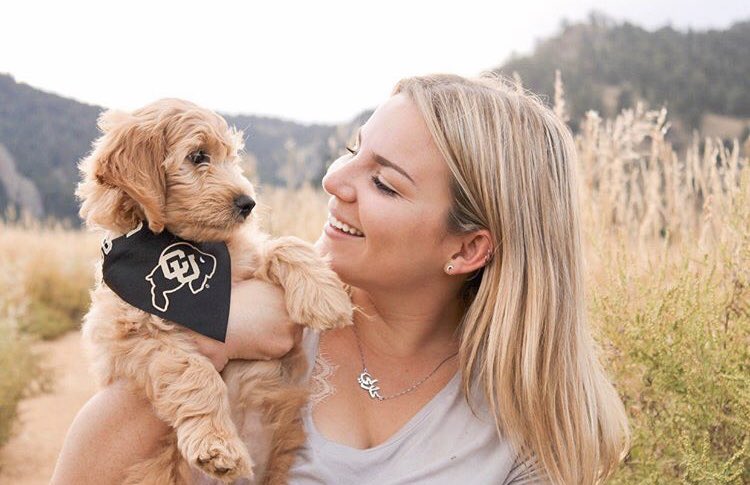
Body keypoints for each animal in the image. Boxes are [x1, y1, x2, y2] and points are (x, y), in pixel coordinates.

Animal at [78, 99, 354, 484]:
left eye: (231, 156)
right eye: (198, 156)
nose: (248, 203)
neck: (183, 245)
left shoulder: (245, 259)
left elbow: (281, 245)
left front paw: (325, 296)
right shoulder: (131, 330)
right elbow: (194, 370)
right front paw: (217, 444)